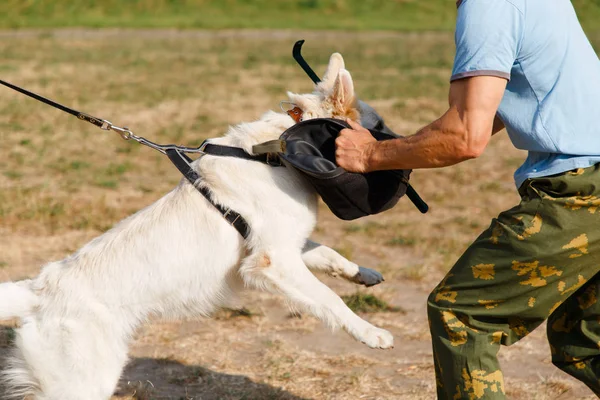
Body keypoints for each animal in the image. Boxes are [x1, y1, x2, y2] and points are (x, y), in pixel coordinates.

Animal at [0, 54, 394, 400]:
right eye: (377, 127)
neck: (279, 149)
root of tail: (39, 290)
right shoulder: (271, 262)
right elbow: (330, 299)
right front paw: (371, 333)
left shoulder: (282, 247)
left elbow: (330, 254)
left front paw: (364, 274)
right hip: (83, 385)